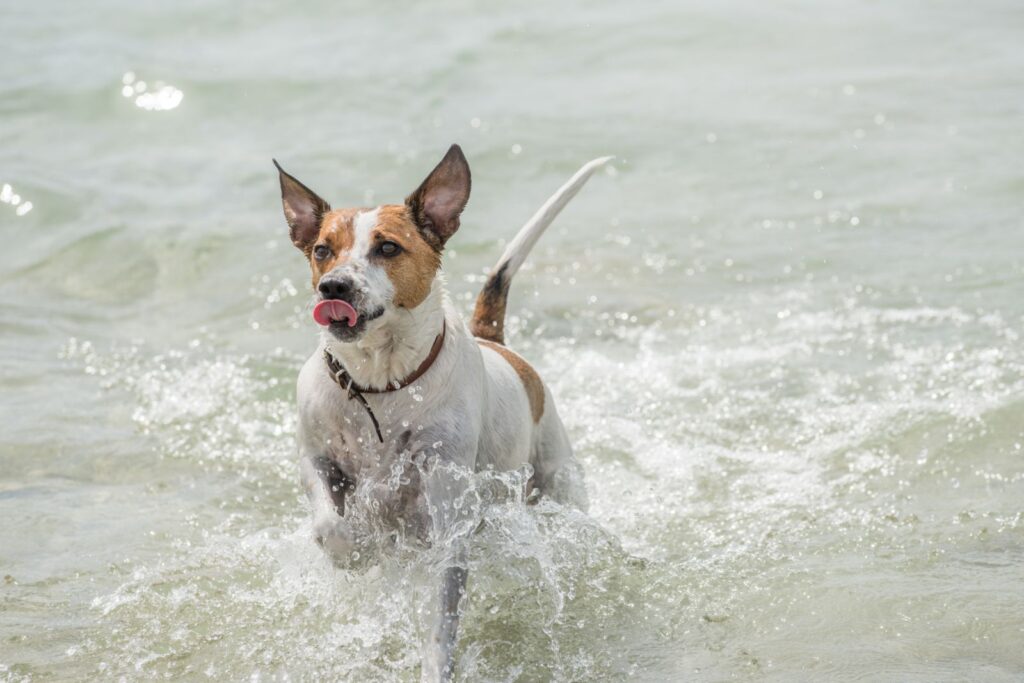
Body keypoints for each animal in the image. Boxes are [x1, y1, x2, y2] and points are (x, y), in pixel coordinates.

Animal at [272, 144, 606, 679]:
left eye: (387, 248)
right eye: (323, 249)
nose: (333, 288)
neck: (382, 383)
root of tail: (497, 342)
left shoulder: (447, 509)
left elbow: (441, 616)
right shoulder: (315, 456)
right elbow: (329, 521)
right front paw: (354, 551)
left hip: (558, 478)